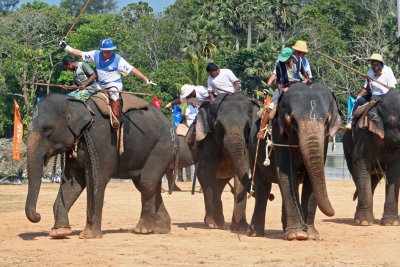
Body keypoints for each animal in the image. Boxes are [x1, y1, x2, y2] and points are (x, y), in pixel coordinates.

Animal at [25, 93, 175, 239]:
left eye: (47, 129)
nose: (38, 216)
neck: (80, 106)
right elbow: (72, 184)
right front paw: (59, 232)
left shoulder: (100, 144)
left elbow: (95, 181)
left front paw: (88, 235)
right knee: (147, 184)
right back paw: (161, 229)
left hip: (162, 146)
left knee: (146, 183)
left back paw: (142, 230)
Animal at [195, 93, 260, 231]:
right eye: (218, 126)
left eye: (247, 126)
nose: (272, 196)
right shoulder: (209, 139)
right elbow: (207, 172)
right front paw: (214, 224)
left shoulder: (247, 142)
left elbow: (242, 173)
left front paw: (240, 228)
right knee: (206, 179)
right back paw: (212, 222)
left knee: (219, 184)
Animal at [250, 84, 340, 241]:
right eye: (292, 121)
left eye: (326, 120)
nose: (333, 212)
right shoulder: (279, 134)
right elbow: (286, 174)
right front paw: (297, 234)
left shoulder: (323, 141)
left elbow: (311, 179)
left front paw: (311, 235)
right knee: (262, 188)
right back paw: (255, 233)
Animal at [342, 89, 400, 227]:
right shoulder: (363, 133)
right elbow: (361, 166)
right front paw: (363, 222)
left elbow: (395, 171)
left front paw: (392, 223)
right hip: (346, 146)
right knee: (358, 176)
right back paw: (361, 219)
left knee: (373, 179)